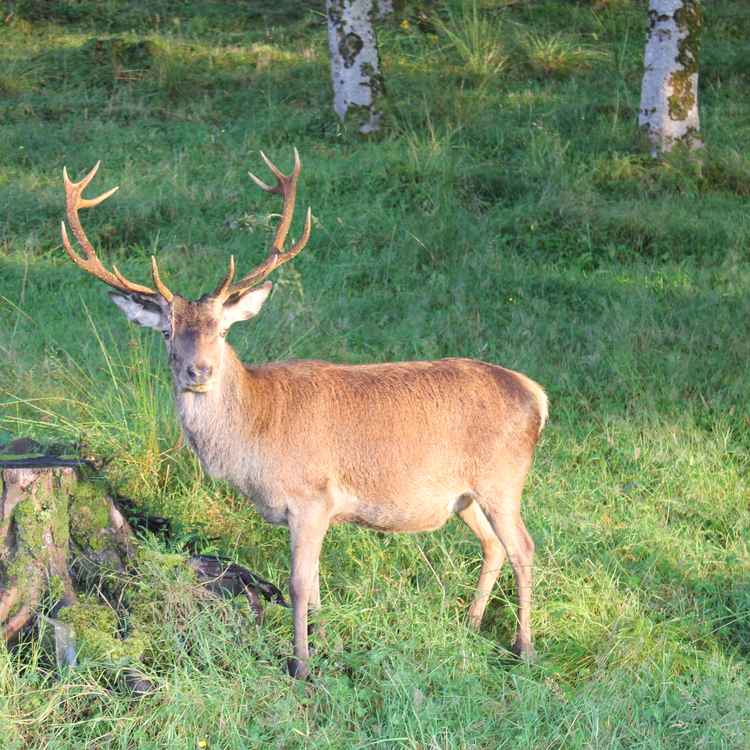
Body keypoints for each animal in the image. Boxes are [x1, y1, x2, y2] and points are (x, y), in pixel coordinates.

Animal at [60, 151, 548, 678]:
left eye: (223, 330)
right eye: (167, 331)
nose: (198, 370)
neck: (255, 441)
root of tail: (537, 395)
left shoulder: (311, 497)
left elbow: (297, 583)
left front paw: (300, 666)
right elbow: (313, 586)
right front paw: (323, 644)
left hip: (503, 479)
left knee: (524, 547)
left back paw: (523, 647)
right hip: (465, 495)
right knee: (494, 544)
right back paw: (472, 623)